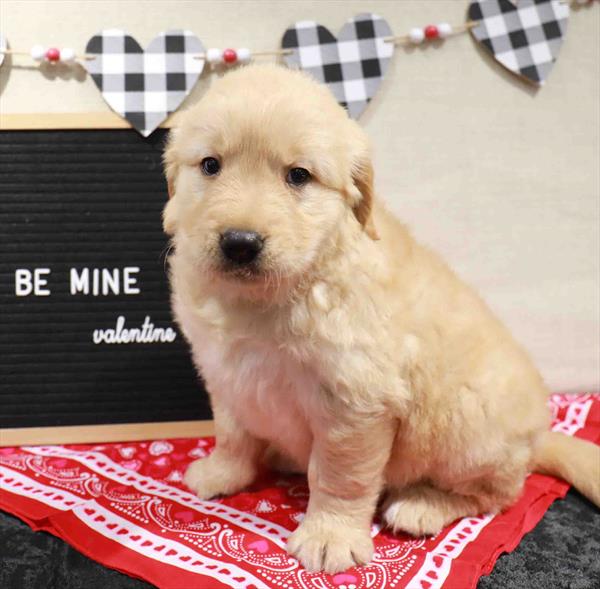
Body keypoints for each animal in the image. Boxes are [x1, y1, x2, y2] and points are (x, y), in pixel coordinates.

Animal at [162, 65, 596, 576]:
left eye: (298, 176)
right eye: (210, 165)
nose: (240, 243)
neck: (268, 298)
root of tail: (536, 440)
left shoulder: (355, 402)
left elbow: (339, 477)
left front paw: (330, 535)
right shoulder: (227, 374)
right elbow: (232, 432)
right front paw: (222, 471)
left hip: (467, 423)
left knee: (497, 493)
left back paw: (423, 505)